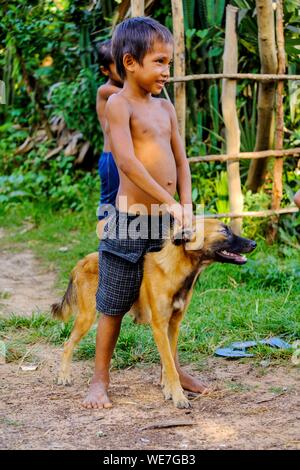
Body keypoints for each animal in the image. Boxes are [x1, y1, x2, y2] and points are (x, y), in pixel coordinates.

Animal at [51, 219, 255, 408]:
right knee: (68, 343)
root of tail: (82, 261)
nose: (254, 243)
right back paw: (64, 376)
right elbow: (171, 367)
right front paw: (179, 397)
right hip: (88, 316)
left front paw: (169, 391)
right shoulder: (159, 327)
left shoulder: (173, 325)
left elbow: (169, 363)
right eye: (224, 231)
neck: (175, 270)